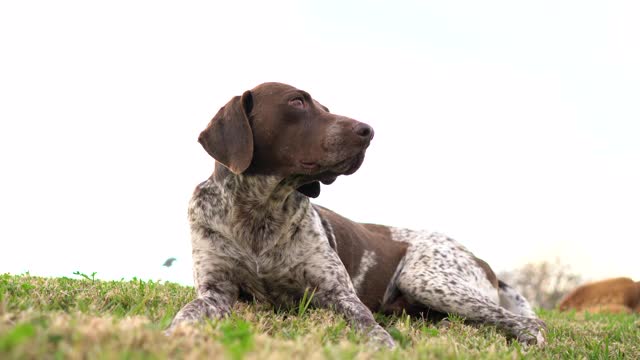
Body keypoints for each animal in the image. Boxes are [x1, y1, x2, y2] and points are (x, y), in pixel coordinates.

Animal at [168, 83, 548, 348]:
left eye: (325, 108)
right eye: (296, 102)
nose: (368, 130)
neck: (259, 212)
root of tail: (483, 262)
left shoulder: (340, 295)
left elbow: (369, 326)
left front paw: (384, 345)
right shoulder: (215, 291)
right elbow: (186, 315)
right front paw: (173, 335)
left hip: (429, 278)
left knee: (531, 323)